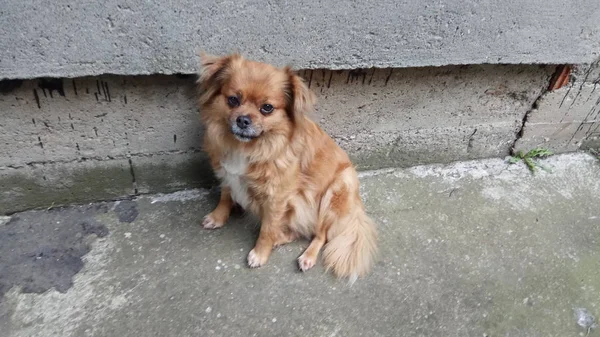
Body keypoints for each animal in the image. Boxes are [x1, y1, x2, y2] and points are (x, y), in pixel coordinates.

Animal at [197, 53, 376, 280]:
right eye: (233, 100)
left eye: (267, 108)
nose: (243, 120)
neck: (250, 147)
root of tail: (356, 206)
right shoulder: (228, 175)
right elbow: (225, 197)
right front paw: (218, 217)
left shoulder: (276, 197)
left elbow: (267, 229)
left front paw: (260, 253)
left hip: (336, 190)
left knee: (321, 234)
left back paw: (306, 255)